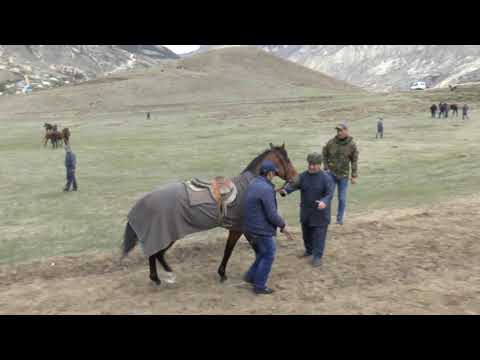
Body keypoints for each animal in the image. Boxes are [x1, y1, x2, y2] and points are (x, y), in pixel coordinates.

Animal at [120, 142, 298, 286]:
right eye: (287, 160)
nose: (295, 178)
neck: (250, 185)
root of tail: (145, 201)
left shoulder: (239, 229)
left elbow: (241, 250)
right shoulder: (240, 229)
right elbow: (236, 250)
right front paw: (223, 274)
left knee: (155, 254)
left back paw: (157, 278)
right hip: (167, 234)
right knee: (157, 254)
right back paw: (166, 276)